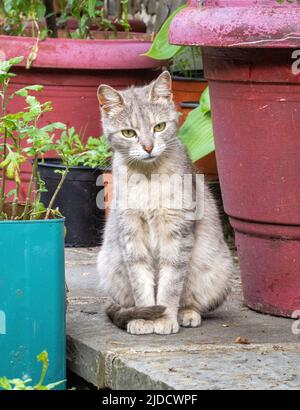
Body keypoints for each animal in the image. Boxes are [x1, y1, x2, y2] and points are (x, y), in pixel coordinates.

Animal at [97, 73, 233, 336]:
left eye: (159, 127)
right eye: (128, 132)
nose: (148, 147)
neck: (148, 177)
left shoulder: (177, 233)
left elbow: (170, 284)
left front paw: (165, 318)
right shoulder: (131, 234)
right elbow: (141, 283)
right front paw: (145, 318)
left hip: (217, 270)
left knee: (192, 302)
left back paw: (187, 314)